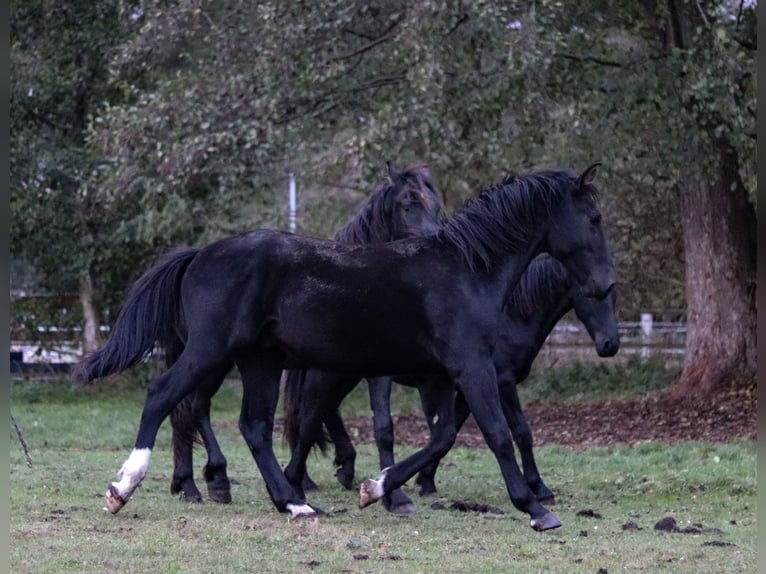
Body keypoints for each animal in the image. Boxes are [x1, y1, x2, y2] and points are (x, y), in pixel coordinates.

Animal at [167, 163, 444, 504]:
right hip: (216, 360)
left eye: (436, 206)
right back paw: (208, 480)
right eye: (408, 205)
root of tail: (195, 259)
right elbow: (334, 422)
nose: (436, 242)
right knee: (193, 407)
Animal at [283, 255, 620, 514]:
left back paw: (332, 474)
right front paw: (540, 488)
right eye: (594, 295)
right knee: (313, 417)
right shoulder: (502, 382)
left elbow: (450, 430)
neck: (509, 318)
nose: (610, 345)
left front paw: (425, 481)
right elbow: (522, 433)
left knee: (323, 414)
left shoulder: (469, 389)